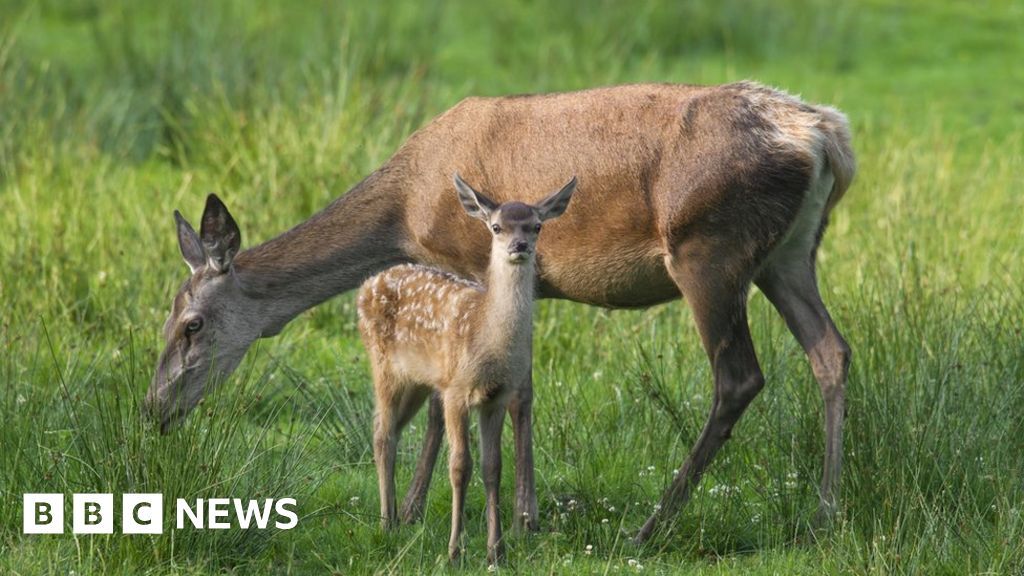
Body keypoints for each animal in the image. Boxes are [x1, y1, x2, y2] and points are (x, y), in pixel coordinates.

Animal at [148, 81, 851, 541]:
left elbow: (442, 403)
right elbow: (524, 390)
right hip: (789, 253)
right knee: (831, 350)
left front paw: (412, 514)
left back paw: (652, 525)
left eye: (191, 325)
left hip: (709, 247)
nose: (154, 408)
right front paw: (525, 516)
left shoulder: (463, 261)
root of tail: (826, 137)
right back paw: (823, 512)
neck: (406, 211)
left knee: (739, 376)